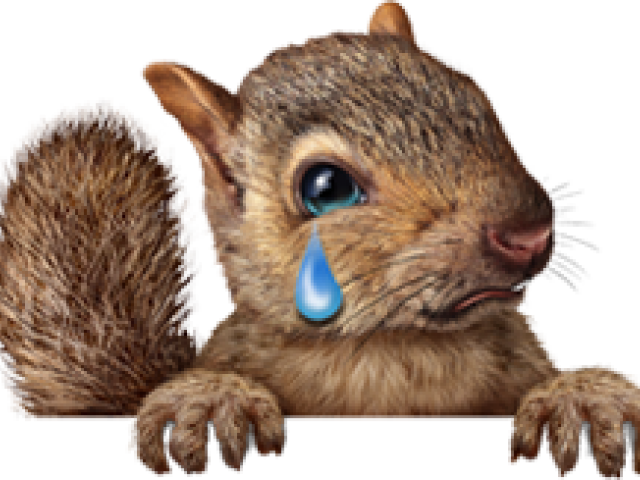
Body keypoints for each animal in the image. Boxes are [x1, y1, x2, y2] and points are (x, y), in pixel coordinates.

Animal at [0, 1, 637, 478]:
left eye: (477, 100)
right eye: (326, 187)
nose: (527, 232)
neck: (392, 355)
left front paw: (585, 398)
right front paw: (211, 401)